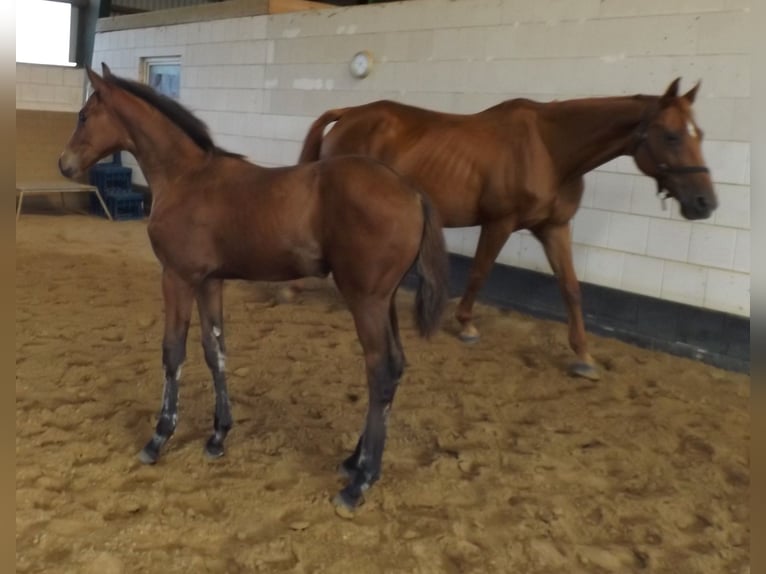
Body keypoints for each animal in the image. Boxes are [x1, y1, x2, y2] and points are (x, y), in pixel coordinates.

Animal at [61, 65, 456, 510]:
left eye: (84, 116)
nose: (64, 164)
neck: (187, 177)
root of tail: (412, 191)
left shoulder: (177, 277)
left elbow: (173, 352)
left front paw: (159, 437)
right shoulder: (209, 281)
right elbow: (215, 350)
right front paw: (218, 436)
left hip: (366, 300)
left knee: (381, 370)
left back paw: (360, 481)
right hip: (383, 300)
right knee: (397, 365)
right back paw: (353, 461)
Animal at [296, 77, 716, 382]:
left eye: (700, 133)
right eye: (672, 135)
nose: (705, 203)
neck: (550, 149)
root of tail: (349, 113)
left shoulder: (554, 227)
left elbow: (571, 288)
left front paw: (583, 354)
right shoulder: (500, 223)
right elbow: (480, 273)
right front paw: (466, 326)